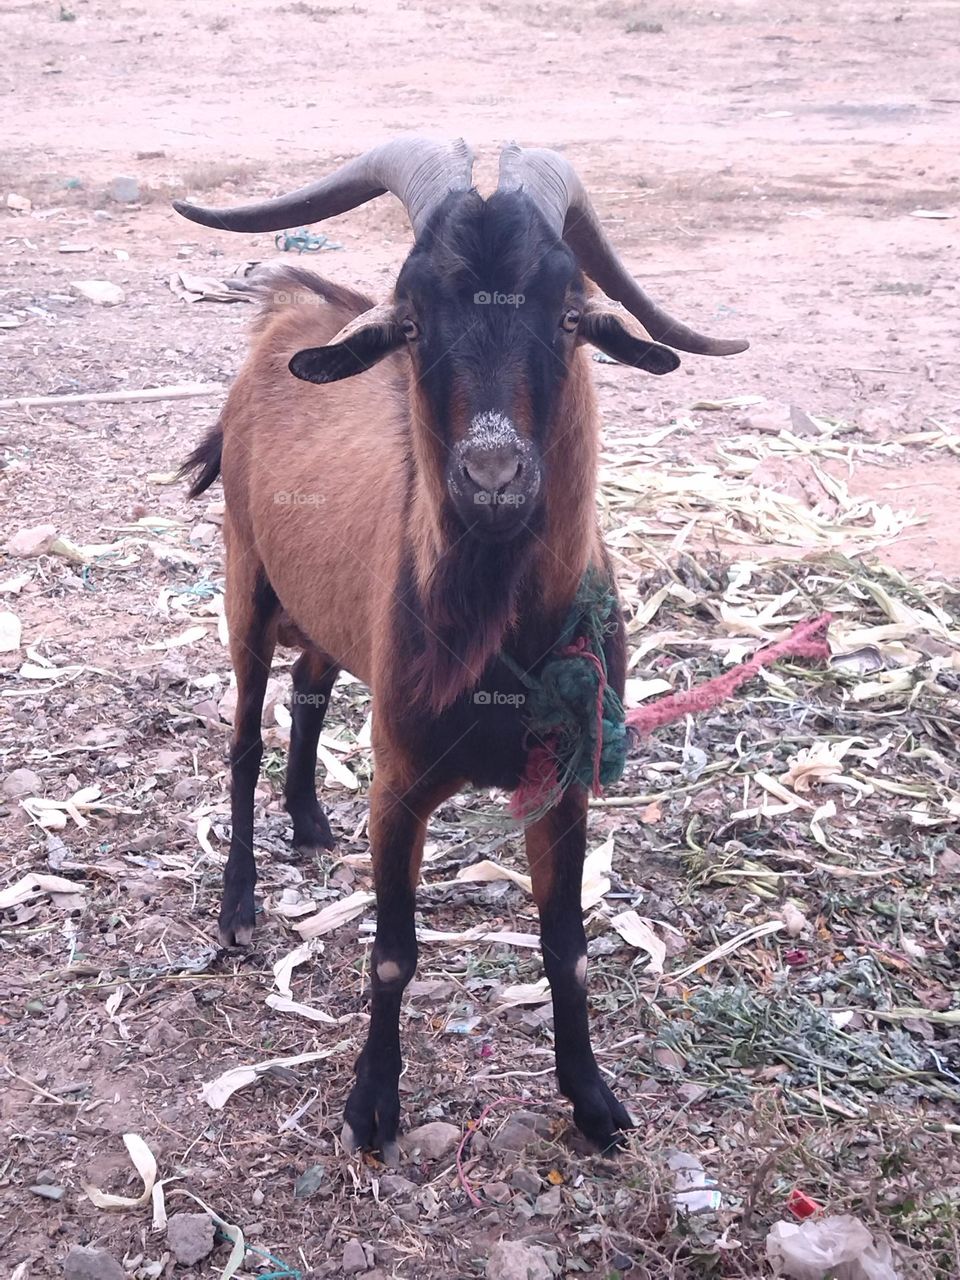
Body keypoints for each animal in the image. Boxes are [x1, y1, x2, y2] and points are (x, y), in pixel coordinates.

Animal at [175, 138, 748, 1158]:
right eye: (412, 320)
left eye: (569, 315)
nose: (492, 475)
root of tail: (287, 312)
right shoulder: (401, 782)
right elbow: (394, 954)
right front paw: (371, 1106)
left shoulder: (563, 780)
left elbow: (566, 944)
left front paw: (592, 1100)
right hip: (246, 582)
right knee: (242, 736)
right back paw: (239, 907)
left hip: (327, 613)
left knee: (312, 687)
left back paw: (308, 820)